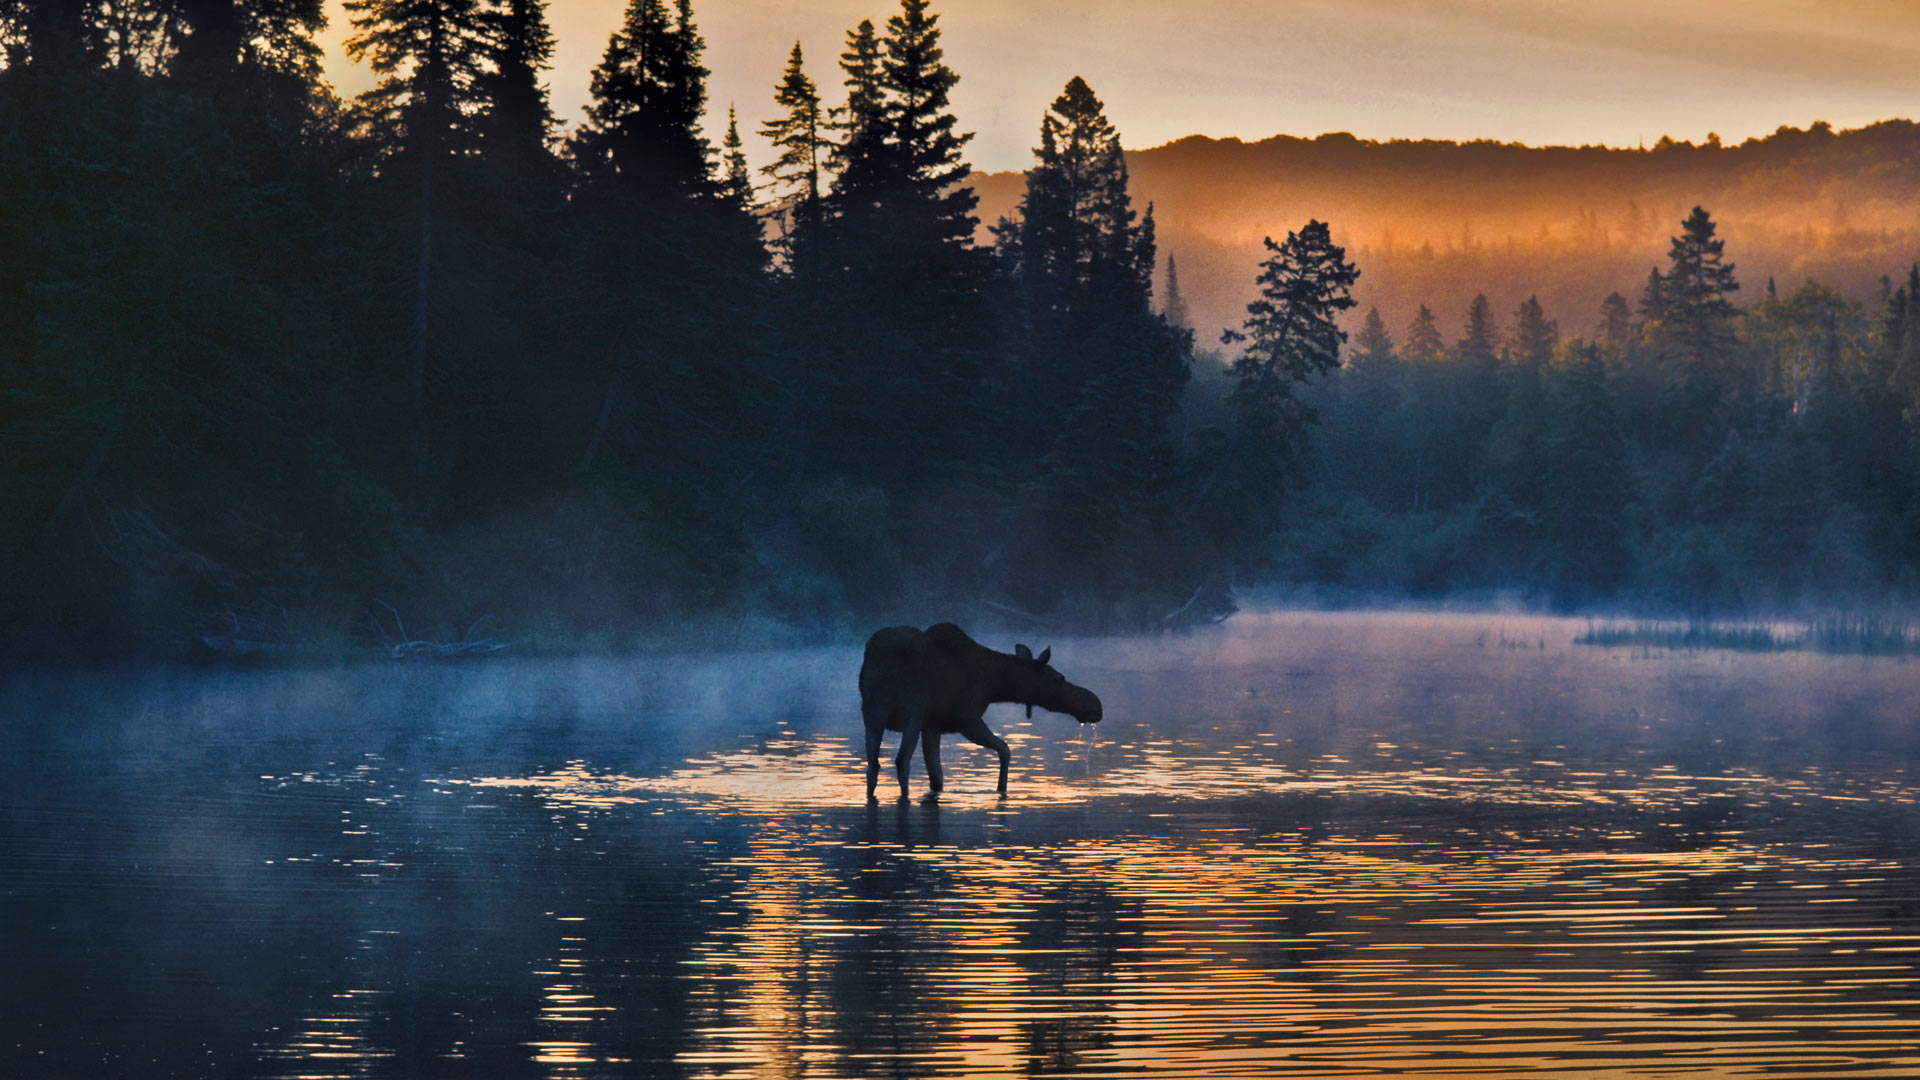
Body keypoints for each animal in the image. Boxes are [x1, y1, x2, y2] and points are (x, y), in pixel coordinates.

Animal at [858, 622, 1103, 801]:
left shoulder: (932, 726)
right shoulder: (966, 720)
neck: (994, 684)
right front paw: (1001, 788)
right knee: (901, 762)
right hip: (912, 711)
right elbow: (1005, 749)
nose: (1095, 705)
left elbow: (937, 775)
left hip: (872, 713)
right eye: (1058, 678)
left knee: (873, 766)